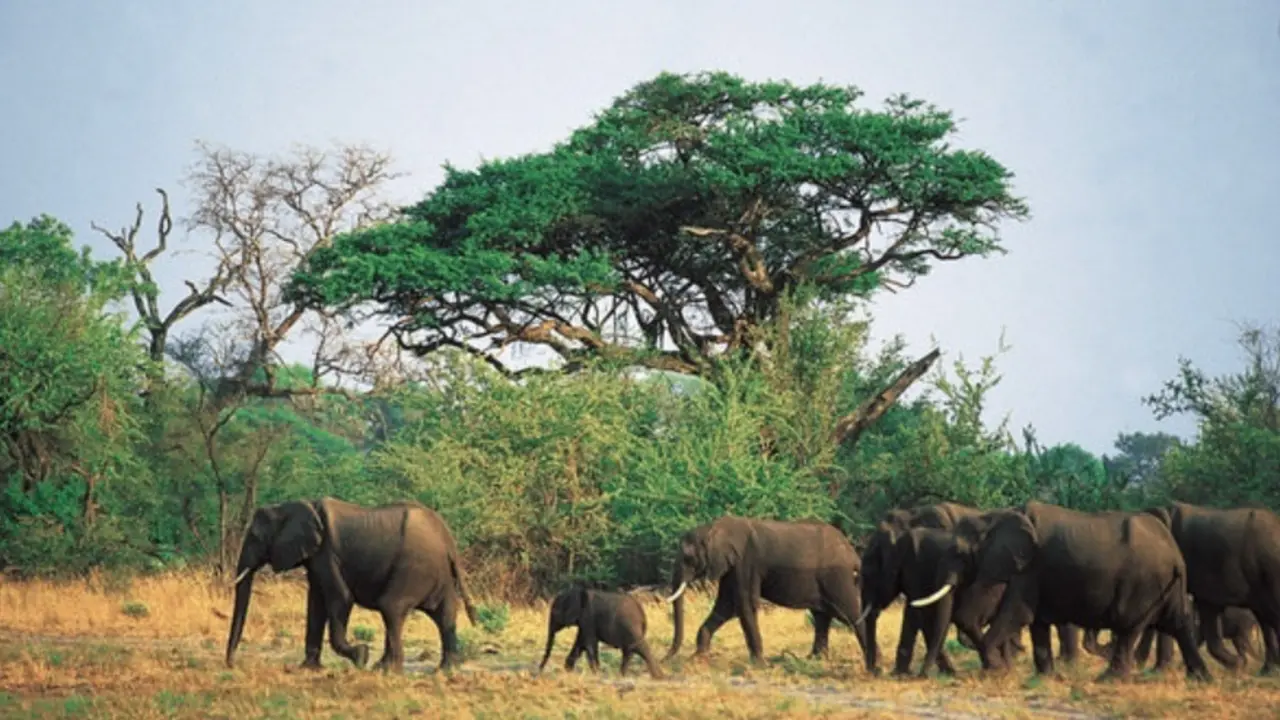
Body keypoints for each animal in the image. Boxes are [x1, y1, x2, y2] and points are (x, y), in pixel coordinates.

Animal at [224, 497, 478, 673]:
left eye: (255, 537)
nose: (231, 664)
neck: (298, 504)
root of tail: (447, 538)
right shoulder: (316, 558)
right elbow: (315, 604)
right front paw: (308, 669)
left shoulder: (327, 554)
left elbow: (339, 598)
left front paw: (360, 656)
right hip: (438, 573)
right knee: (444, 615)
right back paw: (444, 670)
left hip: (414, 566)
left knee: (391, 607)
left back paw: (385, 670)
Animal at [663, 515, 869, 667]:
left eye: (688, 557)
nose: (664, 659)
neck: (712, 528)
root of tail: (852, 553)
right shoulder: (732, 568)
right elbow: (726, 606)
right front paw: (698, 658)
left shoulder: (746, 563)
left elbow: (744, 604)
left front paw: (760, 664)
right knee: (821, 617)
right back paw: (814, 660)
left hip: (837, 576)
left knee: (850, 614)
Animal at [913, 501, 1211, 681]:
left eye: (959, 552)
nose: (924, 676)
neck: (995, 515)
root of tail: (1175, 553)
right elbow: (1037, 624)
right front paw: (1046, 678)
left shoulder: (1030, 567)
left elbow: (1017, 615)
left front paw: (995, 672)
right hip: (1164, 583)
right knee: (1178, 621)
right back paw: (1201, 678)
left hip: (1142, 582)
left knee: (1129, 625)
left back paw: (1109, 680)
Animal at [1143, 501, 1280, 675]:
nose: (1146, 669)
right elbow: (1209, 612)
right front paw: (1238, 665)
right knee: (1265, 618)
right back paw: (1267, 671)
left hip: (1270, 570)